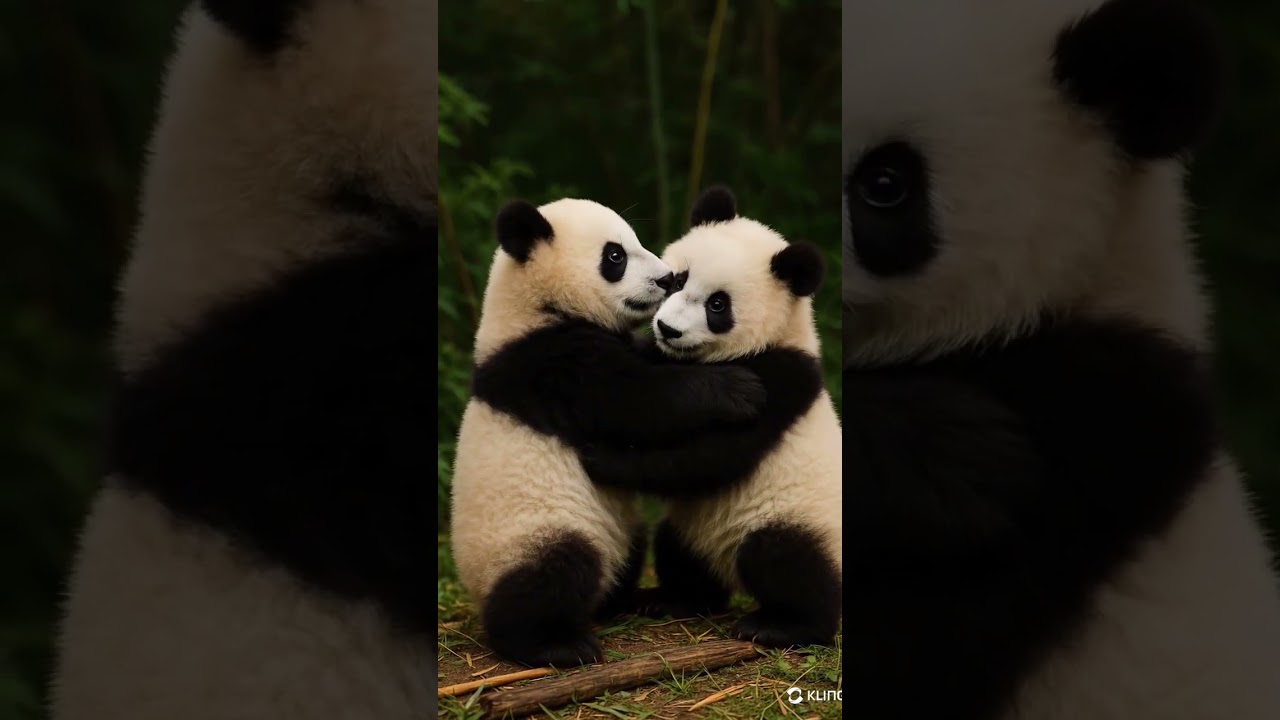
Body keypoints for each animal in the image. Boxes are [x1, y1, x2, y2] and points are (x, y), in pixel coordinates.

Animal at [451, 197, 772, 668]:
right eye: (615, 256)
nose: (666, 278)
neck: (535, 305)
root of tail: (476, 589)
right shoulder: (550, 364)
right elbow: (636, 400)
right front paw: (736, 388)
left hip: (621, 528)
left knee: (627, 551)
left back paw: (630, 599)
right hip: (526, 533)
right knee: (553, 572)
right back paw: (555, 643)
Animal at [577, 187, 843, 649]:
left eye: (718, 305)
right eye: (679, 279)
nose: (668, 329)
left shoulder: (782, 379)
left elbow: (711, 456)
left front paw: (604, 458)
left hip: (800, 515)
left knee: (786, 557)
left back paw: (784, 624)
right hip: (694, 527)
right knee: (677, 550)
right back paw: (673, 598)